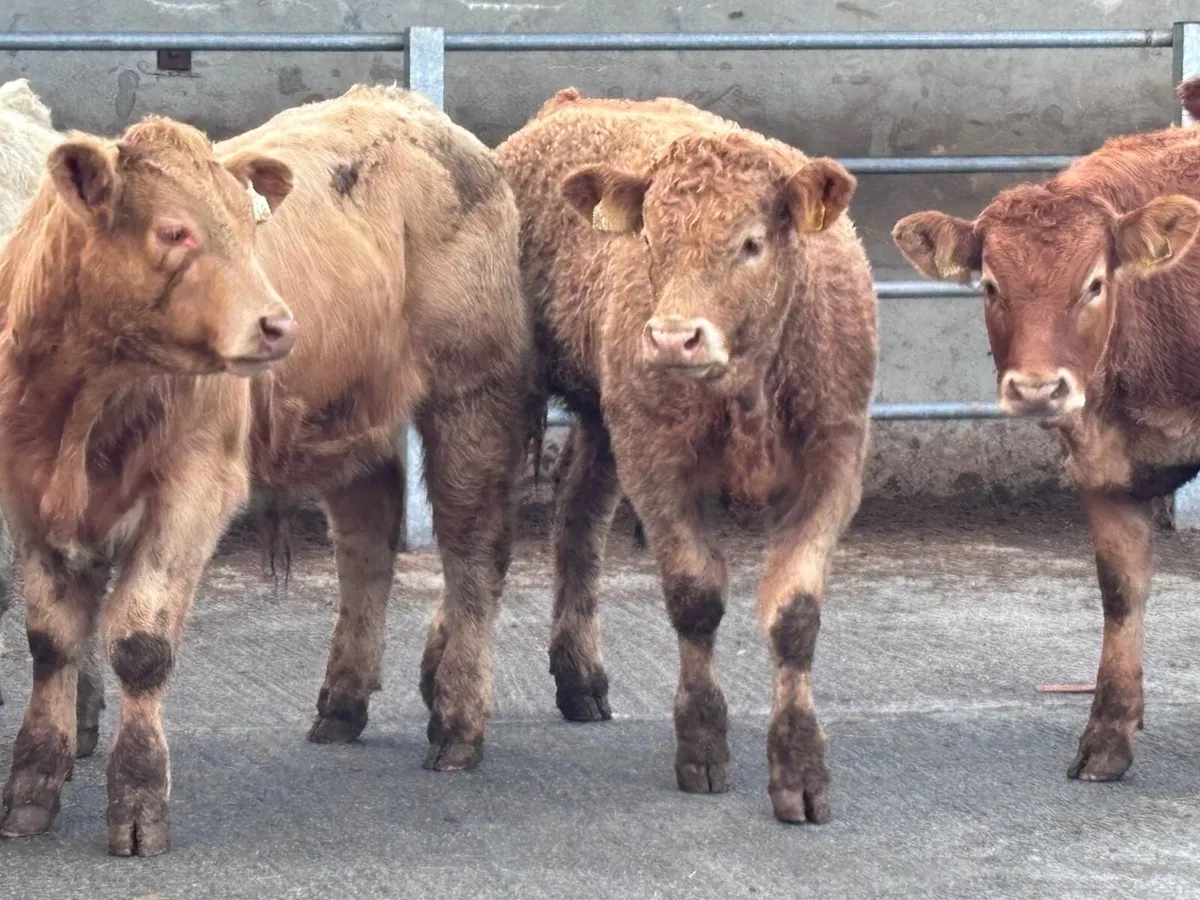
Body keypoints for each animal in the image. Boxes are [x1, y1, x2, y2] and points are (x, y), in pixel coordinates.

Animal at [0, 84, 531, 856]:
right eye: (174, 232)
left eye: (251, 232)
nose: (278, 324)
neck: (84, 399)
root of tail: (411, 108)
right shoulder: (27, 496)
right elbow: (50, 640)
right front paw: (33, 785)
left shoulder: (195, 483)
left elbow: (140, 640)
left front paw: (138, 798)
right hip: (349, 412)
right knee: (366, 539)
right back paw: (343, 700)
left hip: (473, 396)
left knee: (473, 554)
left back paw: (459, 721)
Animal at [489, 89, 878, 823]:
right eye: (650, 237)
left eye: (751, 242)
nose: (673, 339)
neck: (749, 388)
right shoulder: (658, 466)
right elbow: (695, 598)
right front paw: (701, 745)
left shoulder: (833, 466)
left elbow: (795, 615)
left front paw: (800, 768)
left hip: (605, 422)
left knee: (578, 520)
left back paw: (579, 679)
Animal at [890, 77, 1200, 784]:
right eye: (990, 285)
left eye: (1094, 283)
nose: (1036, 388)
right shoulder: (1102, 467)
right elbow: (1121, 594)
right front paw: (1109, 735)